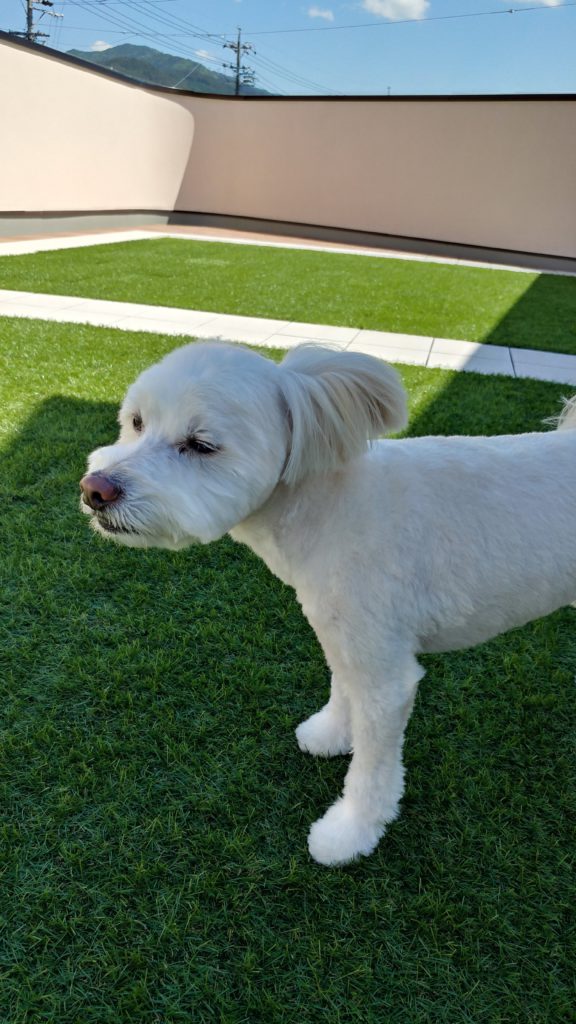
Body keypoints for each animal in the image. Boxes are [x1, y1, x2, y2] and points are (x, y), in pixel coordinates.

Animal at [80, 341, 576, 866]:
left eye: (201, 445)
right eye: (136, 422)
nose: (96, 490)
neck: (326, 504)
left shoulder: (385, 674)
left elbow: (372, 767)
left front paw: (350, 831)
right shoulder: (339, 629)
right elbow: (342, 685)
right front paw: (332, 733)